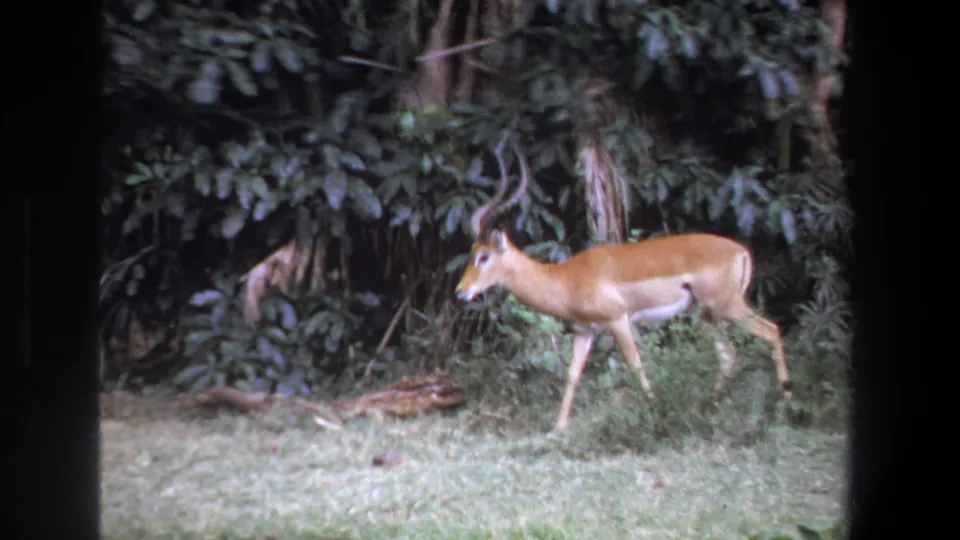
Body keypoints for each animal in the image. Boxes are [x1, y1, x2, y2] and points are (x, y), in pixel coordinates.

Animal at [455, 138, 792, 433]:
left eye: (484, 256)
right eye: (472, 253)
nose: (461, 291)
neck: (566, 278)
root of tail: (741, 251)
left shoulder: (618, 320)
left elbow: (636, 365)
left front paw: (655, 410)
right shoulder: (585, 330)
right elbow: (573, 373)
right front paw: (558, 428)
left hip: (727, 307)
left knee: (771, 331)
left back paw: (785, 402)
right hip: (707, 315)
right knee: (729, 353)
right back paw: (710, 406)